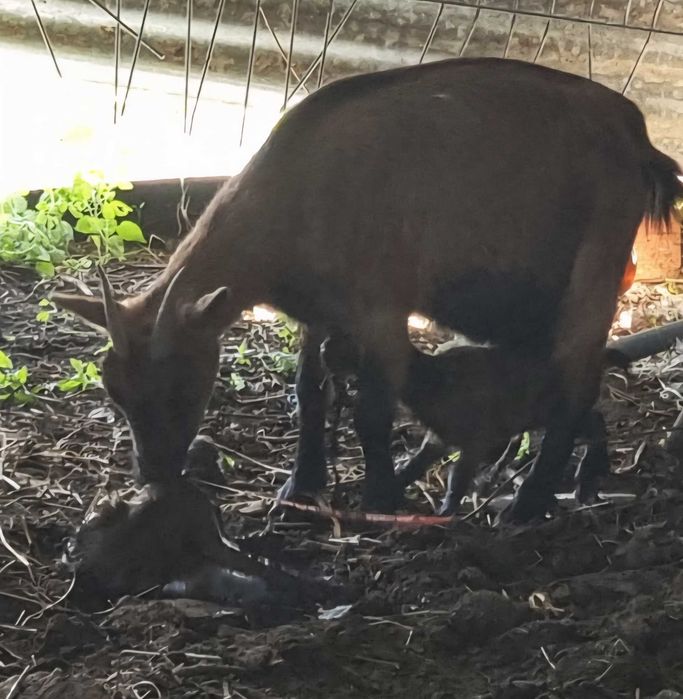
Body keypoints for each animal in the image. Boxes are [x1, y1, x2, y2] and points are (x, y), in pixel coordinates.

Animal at [52, 57, 682, 521]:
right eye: (115, 393)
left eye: (183, 387)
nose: (154, 475)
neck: (295, 198)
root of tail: (637, 136)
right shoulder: (316, 312)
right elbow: (310, 393)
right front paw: (301, 486)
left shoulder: (381, 305)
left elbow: (373, 409)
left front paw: (380, 496)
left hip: (596, 262)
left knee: (578, 374)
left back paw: (528, 502)